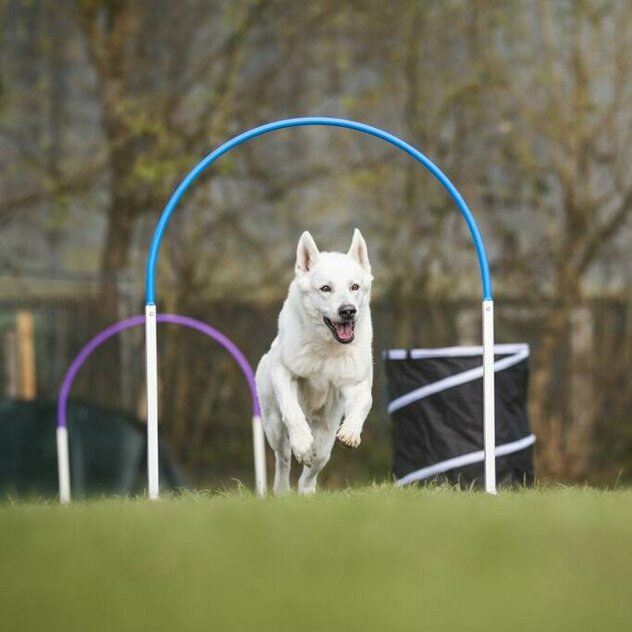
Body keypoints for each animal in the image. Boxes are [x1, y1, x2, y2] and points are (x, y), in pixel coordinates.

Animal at [256, 230, 376, 496]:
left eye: (354, 287)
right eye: (325, 288)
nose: (348, 311)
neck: (327, 349)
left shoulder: (356, 382)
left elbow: (364, 402)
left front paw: (351, 432)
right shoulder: (285, 372)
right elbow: (293, 411)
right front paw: (301, 443)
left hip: (326, 432)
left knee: (317, 461)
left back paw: (306, 492)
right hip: (273, 426)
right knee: (283, 458)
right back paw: (282, 490)